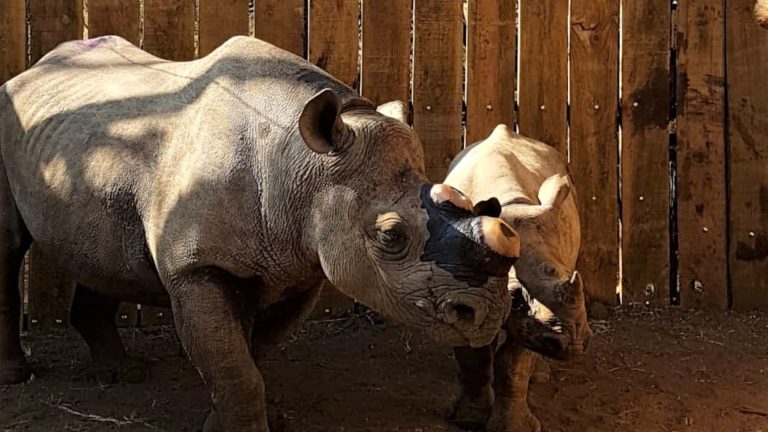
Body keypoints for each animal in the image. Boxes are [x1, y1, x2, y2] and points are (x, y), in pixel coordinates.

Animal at [0, 36, 520, 431]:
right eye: (391, 237)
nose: (488, 314)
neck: (303, 164)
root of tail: (31, 69)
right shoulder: (198, 266)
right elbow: (234, 362)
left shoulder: (298, 262)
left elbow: (248, 353)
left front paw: (247, 416)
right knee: (8, 248)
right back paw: (19, 376)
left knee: (100, 248)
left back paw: (121, 375)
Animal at [443, 124, 593, 432]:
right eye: (513, 295)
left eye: (561, 272)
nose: (572, 344)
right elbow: (473, 354)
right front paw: (468, 420)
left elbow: (513, 363)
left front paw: (512, 427)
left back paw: (541, 376)